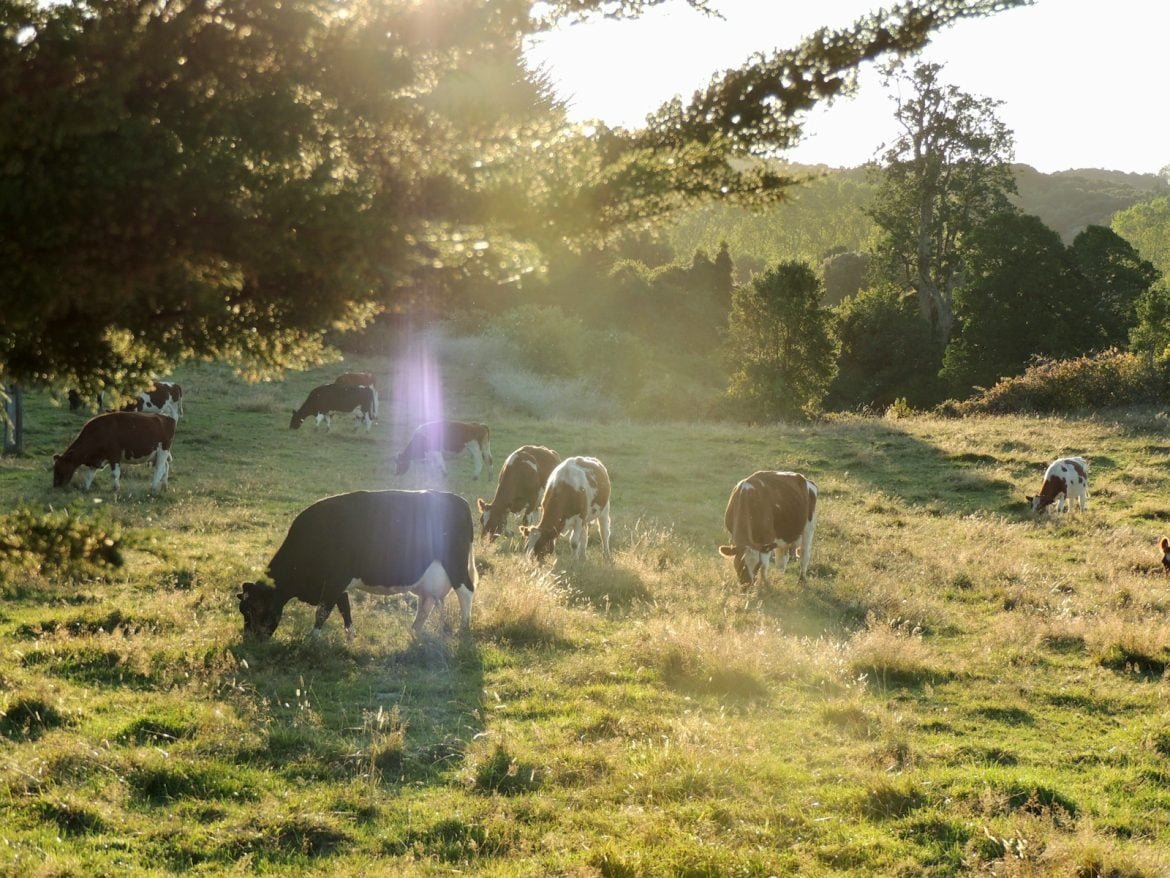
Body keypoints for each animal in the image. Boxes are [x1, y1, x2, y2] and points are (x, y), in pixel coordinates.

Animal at [237, 490, 477, 640]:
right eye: (243, 610)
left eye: (256, 608)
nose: (249, 640)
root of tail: (459, 500)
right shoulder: (337, 585)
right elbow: (344, 607)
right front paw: (350, 636)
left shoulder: (335, 581)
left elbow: (322, 612)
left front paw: (312, 639)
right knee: (426, 602)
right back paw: (415, 630)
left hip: (455, 565)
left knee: (466, 592)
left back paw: (463, 628)